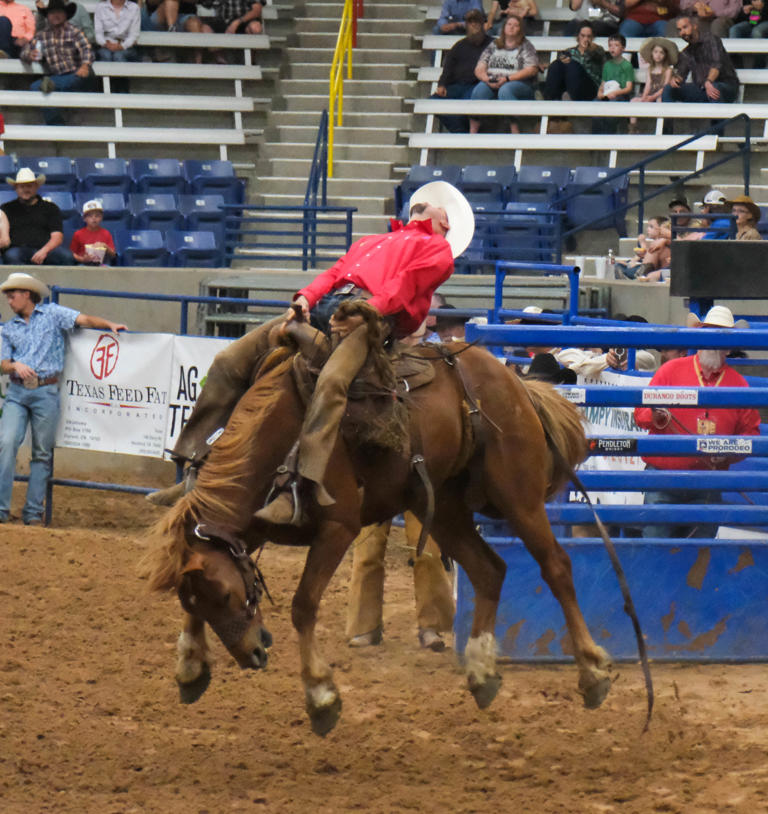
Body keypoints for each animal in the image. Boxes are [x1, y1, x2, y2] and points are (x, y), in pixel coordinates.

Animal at [142, 342, 612, 736]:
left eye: (225, 595)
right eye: (199, 600)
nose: (252, 655)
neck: (282, 437)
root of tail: (516, 383)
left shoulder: (338, 528)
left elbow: (303, 605)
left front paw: (321, 695)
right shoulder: (252, 527)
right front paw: (190, 665)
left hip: (518, 496)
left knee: (556, 566)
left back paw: (593, 671)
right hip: (445, 507)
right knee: (489, 571)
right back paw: (481, 672)